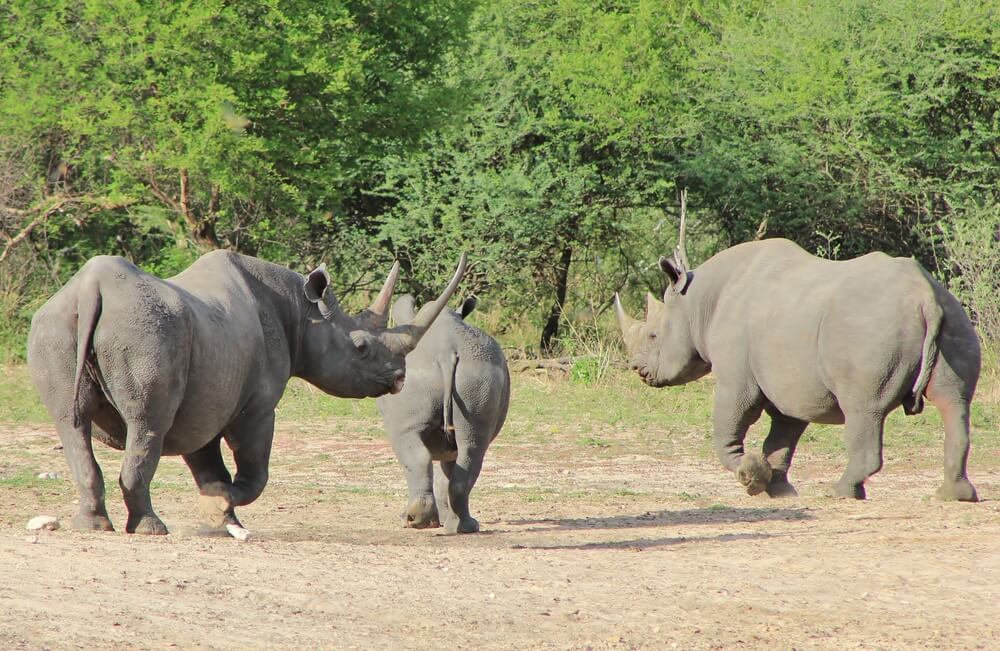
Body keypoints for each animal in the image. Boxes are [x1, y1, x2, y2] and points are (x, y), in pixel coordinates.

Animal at [378, 296, 512, 536]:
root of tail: (445, 353)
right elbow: (448, 470)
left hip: (416, 378)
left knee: (407, 443)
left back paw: (417, 521)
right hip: (478, 373)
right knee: (473, 448)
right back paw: (462, 527)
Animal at [612, 237, 980, 502]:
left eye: (653, 335)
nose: (637, 368)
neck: (697, 303)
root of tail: (923, 296)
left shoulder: (737, 377)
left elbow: (730, 423)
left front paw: (749, 477)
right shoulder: (790, 382)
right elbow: (782, 438)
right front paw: (776, 489)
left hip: (869, 329)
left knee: (864, 410)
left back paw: (840, 493)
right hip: (954, 317)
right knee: (955, 402)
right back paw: (954, 496)